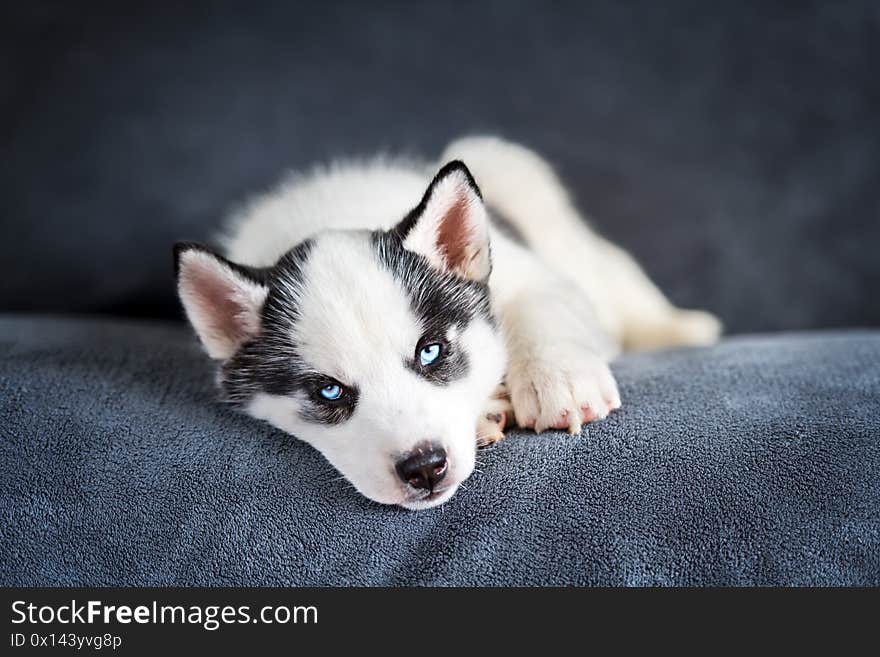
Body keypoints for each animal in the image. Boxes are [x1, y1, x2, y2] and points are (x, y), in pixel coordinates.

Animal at [175, 136, 720, 510]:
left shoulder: (536, 275)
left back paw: (681, 329)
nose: (423, 469)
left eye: (431, 351)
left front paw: (559, 380)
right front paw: (483, 411)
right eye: (328, 391)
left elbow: (541, 305)